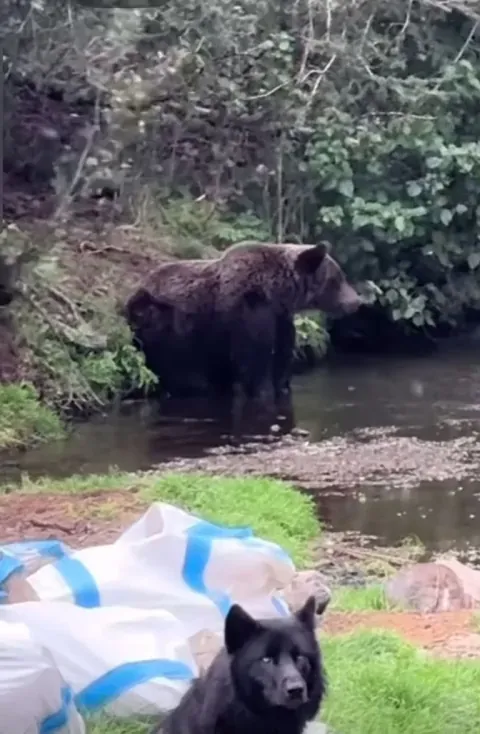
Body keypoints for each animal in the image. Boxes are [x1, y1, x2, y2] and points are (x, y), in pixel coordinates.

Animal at [125, 241, 362, 401]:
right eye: (337, 279)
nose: (357, 301)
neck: (274, 293)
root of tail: (134, 293)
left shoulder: (280, 319)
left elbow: (281, 362)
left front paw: (282, 387)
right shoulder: (248, 316)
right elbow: (255, 368)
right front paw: (262, 390)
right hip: (167, 327)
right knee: (180, 371)